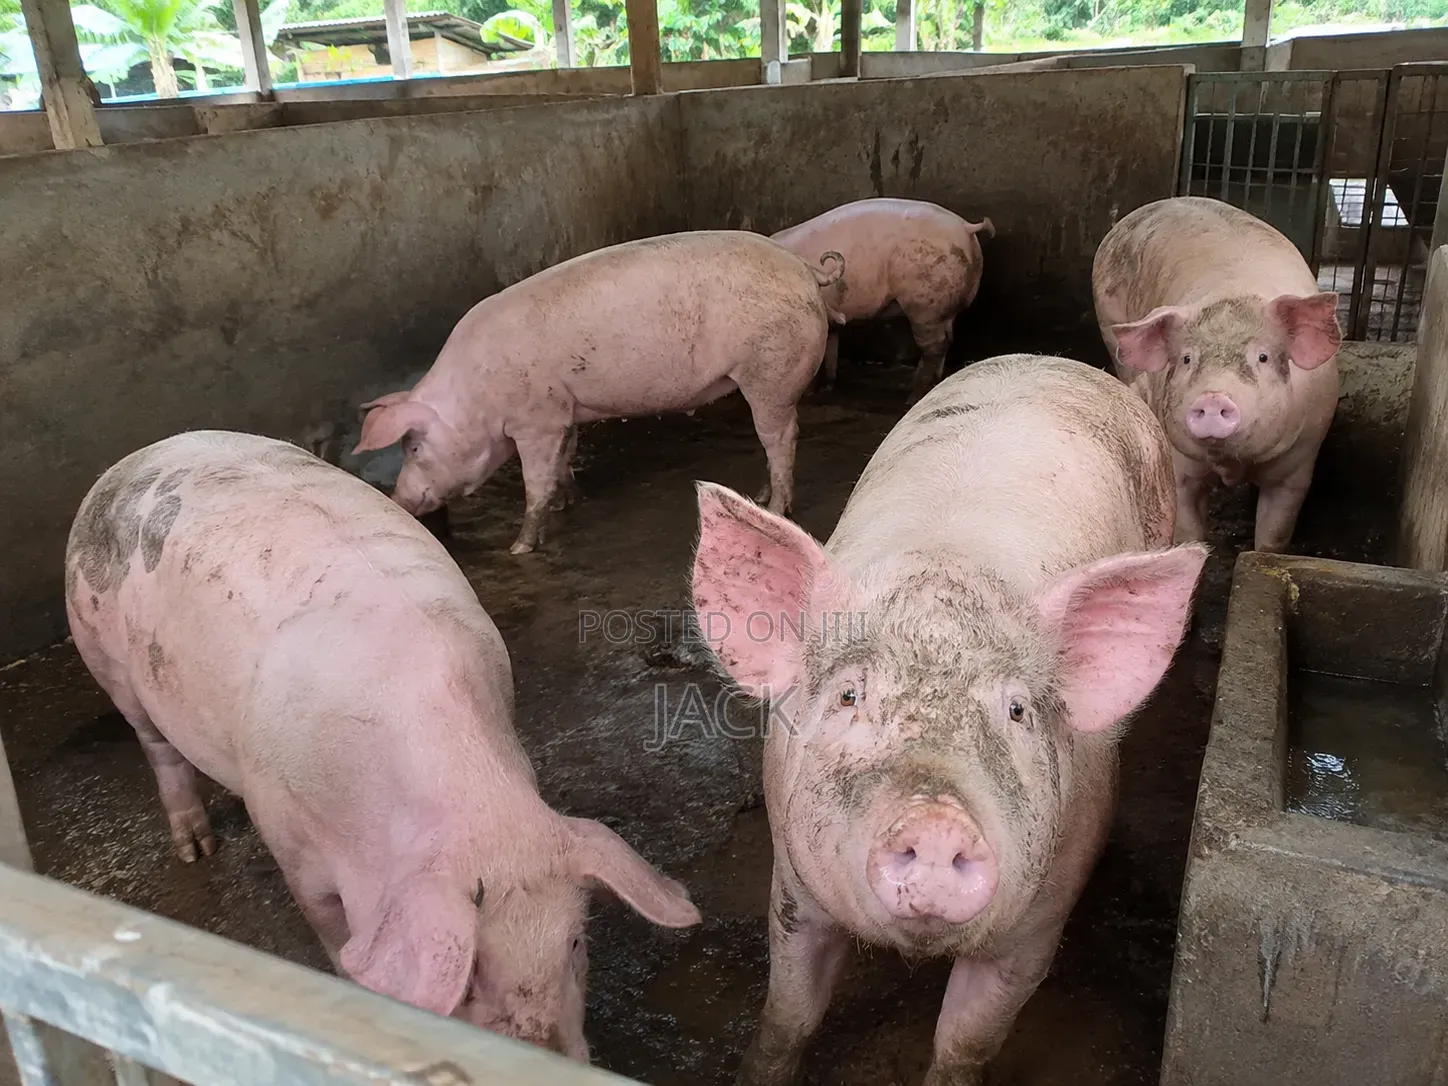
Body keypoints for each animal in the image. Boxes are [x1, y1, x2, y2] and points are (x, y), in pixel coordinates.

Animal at [64, 431, 700, 1059]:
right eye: (470, 977)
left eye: (573, 946)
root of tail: (134, 458)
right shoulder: (287, 835)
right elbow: (330, 929)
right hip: (107, 659)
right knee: (157, 747)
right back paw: (196, 849)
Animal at [352, 231, 845, 555]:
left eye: (414, 447)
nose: (398, 499)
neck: (477, 395)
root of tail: (803, 267)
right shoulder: (564, 410)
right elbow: (564, 459)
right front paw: (569, 501)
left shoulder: (537, 419)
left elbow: (535, 484)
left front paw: (520, 547)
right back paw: (760, 496)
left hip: (769, 371)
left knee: (781, 437)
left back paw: (777, 507)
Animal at [690, 355, 1206, 1086]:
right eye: (849, 695)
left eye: (1017, 711)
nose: (936, 821)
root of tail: (1059, 361)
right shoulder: (793, 883)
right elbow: (789, 1014)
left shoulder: (1037, 924)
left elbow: (965, 1044)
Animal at [770, 198, 994, 403]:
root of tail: (965, 226)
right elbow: (830, 347)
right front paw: (826, 388)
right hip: (947, 306)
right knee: (949, 339)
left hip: (925, 304)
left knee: (935, 346)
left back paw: (912, 397)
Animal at [1092, 196, 1343, 553]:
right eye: (1186, 359)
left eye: (1263, 357)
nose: (1213, 397)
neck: (1232, 463)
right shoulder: (1178, 458)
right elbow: (1189, 529)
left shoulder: (1299, 461)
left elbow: (1273, 535)